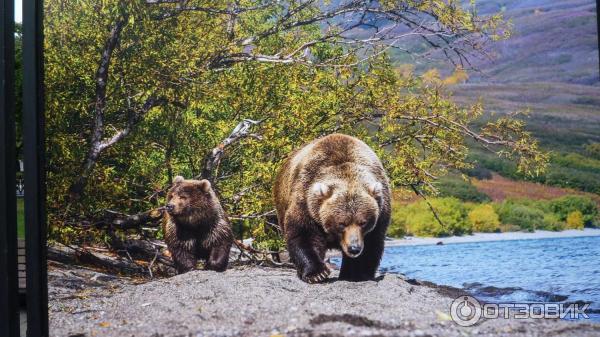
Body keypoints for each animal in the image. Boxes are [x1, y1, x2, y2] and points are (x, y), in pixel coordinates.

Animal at [274, 133, 392, 282]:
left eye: (363, 222)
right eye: (342, 223)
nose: (354, 248)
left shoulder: (381, 214)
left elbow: (371, 243)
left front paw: (356, 274)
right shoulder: (306, 203)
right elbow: (303, 235)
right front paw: (317, 273)